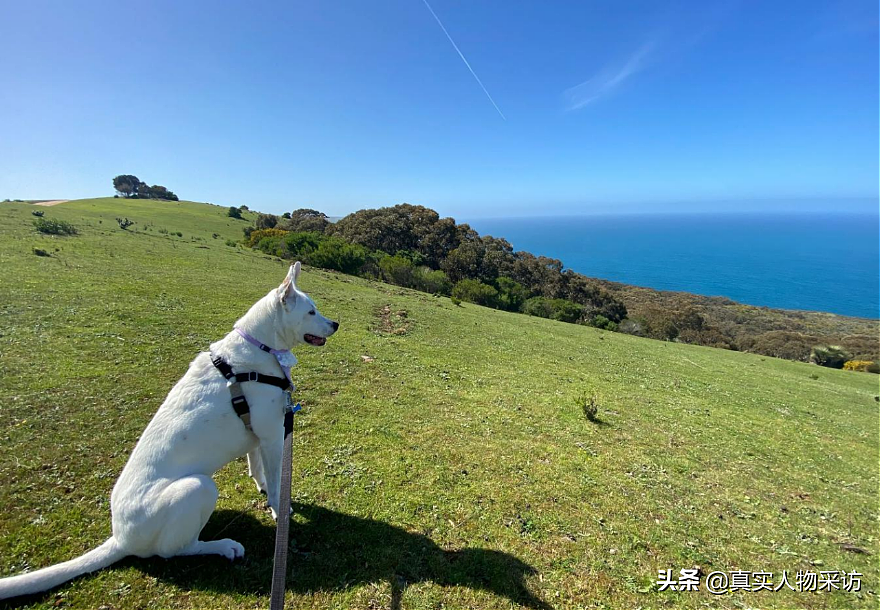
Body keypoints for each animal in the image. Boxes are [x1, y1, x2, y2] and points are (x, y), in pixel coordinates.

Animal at [0, 260, 338, 600]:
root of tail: (120, 538)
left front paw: (264, 490)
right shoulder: (272, 437)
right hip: (198, 488)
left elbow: (258, 470)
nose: (335, 324)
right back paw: (223, 546)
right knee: (176, 550)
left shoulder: (257, 436)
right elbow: (278, 482)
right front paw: (281, 510)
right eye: (311, 311)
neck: (260, 346)